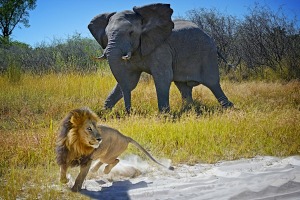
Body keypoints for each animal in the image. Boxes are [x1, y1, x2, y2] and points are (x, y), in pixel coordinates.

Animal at [88, 3, 233, 112]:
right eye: (106, 35)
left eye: (131, 33)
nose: (129, 111)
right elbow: (130, 80)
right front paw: (103, 113)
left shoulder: (161, 49)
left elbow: (162, 77)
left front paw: (164, 115)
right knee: (183, 86)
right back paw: (189, 109)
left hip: (207, 55)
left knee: (212, 83)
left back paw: (229, 108)